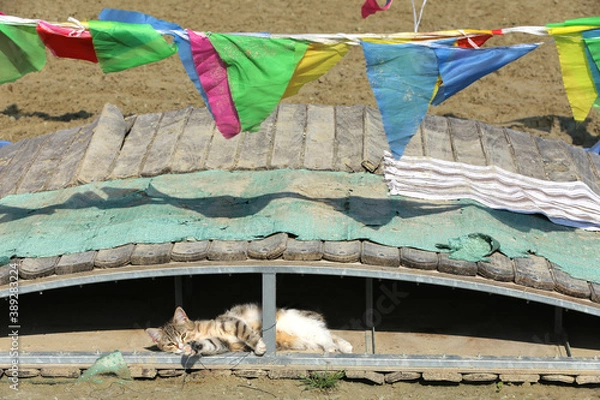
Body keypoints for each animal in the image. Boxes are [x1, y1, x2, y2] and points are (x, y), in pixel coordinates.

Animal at [146, 304, 352, 356]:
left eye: (182, 334)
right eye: (171, 344)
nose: (181, 345)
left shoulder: (231, 322)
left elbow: (245, 332)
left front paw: (258, 346)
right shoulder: (222, 343)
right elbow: (209, 344)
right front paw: (191, 348)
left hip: (302, 325)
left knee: (326, 334)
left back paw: (335, 347)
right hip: (305, 339)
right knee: (328, 335)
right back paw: (342, 346)